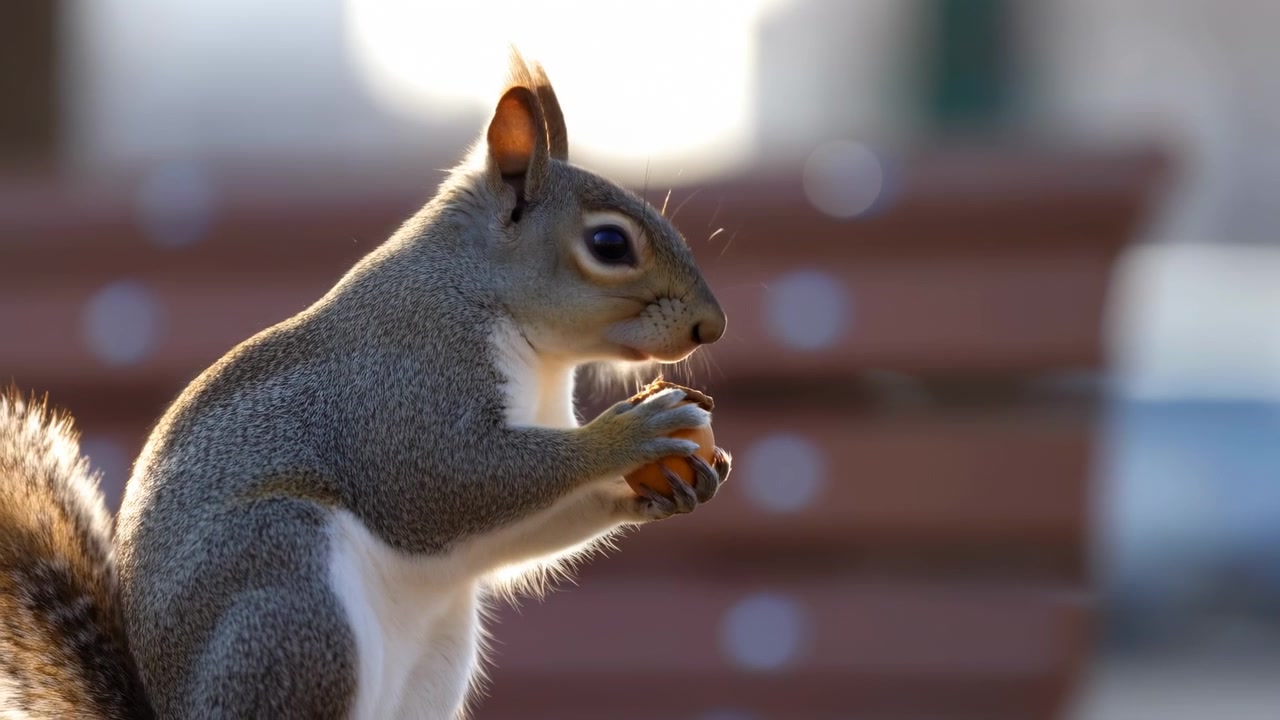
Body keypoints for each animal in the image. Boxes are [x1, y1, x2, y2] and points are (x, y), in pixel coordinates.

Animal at [0, 51, 730, 720]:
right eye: (609, 245)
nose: (712, 326)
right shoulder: (406, 382)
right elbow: (449, 479)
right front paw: (629, 434)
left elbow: (515, 528)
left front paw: (675, 485)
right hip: (289, 595)